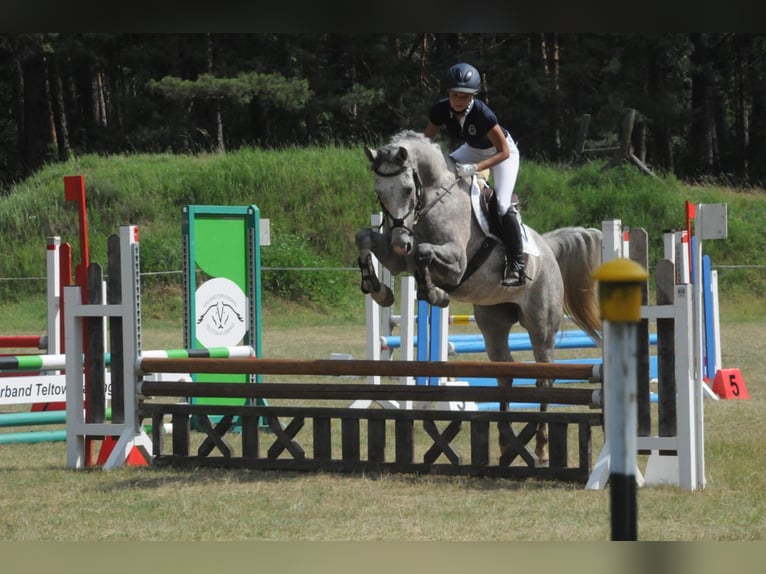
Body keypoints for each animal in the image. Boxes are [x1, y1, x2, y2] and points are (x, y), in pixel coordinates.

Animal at [356, 130, 608, 464]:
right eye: (379, 193)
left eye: (408, 189)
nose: (400, 241)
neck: (434, 199)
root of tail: (548, 249)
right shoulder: (399, 261)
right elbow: (365, 238)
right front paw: (378, 289)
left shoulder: (456, 262)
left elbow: (424, 254)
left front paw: (435, 294)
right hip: (493, 323)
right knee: (505, 375)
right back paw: (505, 443)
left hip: (541, 325)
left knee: (544, 378)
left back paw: (541, 448)